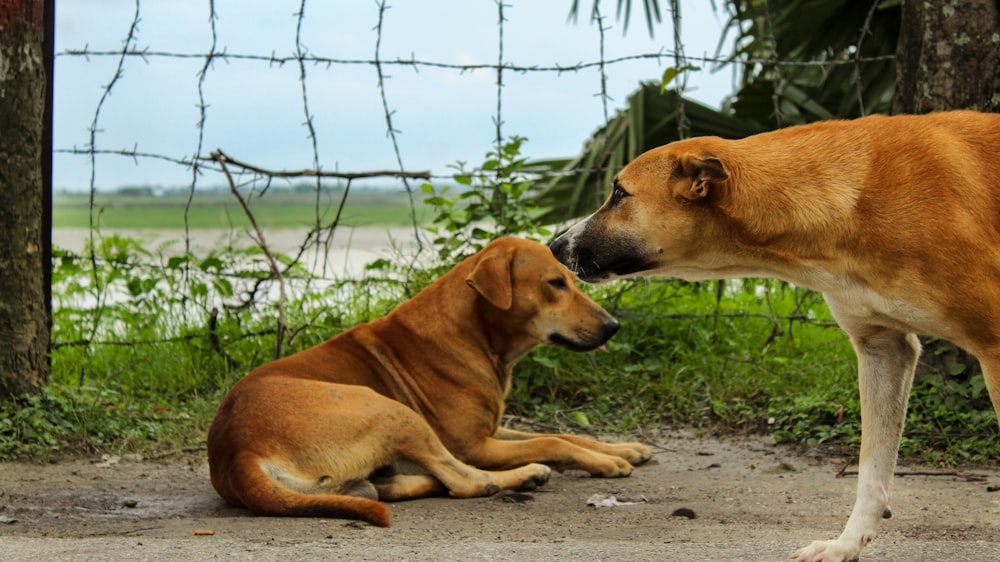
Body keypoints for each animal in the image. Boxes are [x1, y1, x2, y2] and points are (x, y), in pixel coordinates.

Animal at [207, 235, 652, 524]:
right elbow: (553, 442)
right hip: (389, 410)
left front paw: (622, 448)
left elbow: (569, 435)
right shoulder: (477, 446)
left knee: (383, 488)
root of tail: (235, 454)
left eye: (571, 281)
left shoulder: (493, 431)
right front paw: (607, 462)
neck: (476, 332)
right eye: (555, 284)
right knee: (466, 481)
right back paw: (524, 475)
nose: (613, 327)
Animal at [548, 110, 1000, 560]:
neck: (857, 199)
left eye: (620, 193)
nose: (555, 245)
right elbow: (872, 471)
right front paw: (845, 544)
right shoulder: (884, 347)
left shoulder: (993, 350)